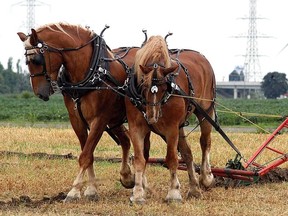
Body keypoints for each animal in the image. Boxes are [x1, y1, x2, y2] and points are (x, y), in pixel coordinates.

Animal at [16, 22, 143, 202]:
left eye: (36, 59)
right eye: (26, 61)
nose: (39, 93)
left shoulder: (99, 119)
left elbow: (85, 155)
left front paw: (74, 191)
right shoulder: (76, 119)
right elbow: (87, 153)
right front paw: (91, 189)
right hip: (115, 119)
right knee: (126, 140)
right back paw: (126, 177)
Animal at [126, 35, 216, 202]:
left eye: (164, 88)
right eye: (144, 85)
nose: (152, 117)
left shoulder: (172, 127)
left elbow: (172, 158)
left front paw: (173, 192)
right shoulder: (136, 127)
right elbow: (139, 159)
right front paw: (138, 193)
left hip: (206, 110)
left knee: (205, 142)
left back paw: (206, 177)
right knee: (187, 153)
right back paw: (194, 188)